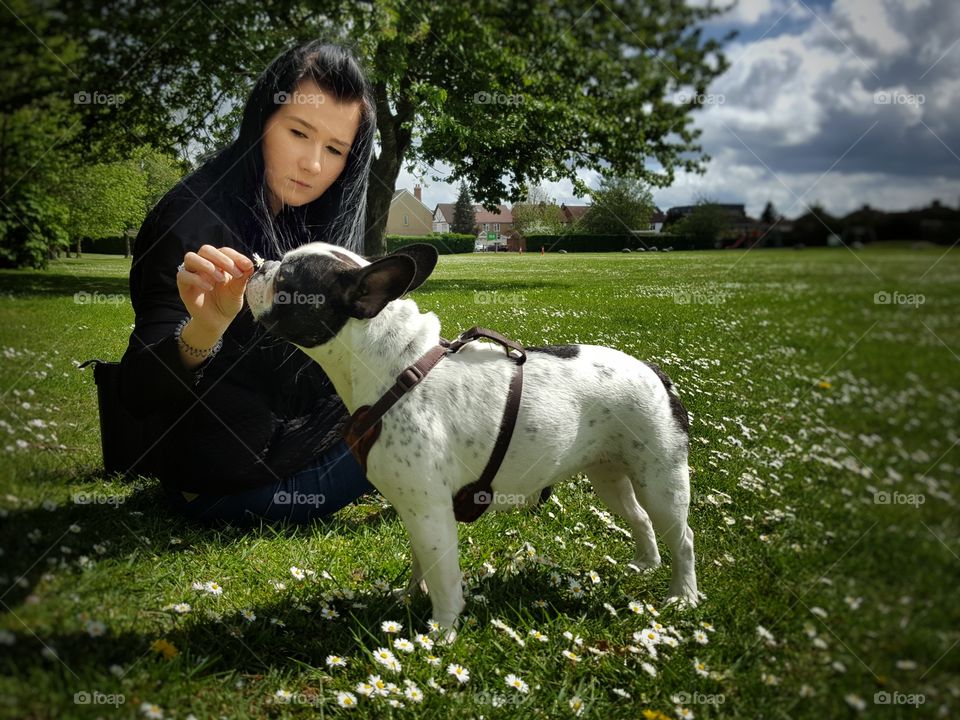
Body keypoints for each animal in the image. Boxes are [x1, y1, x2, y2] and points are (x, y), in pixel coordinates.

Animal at [246, 245, 696, 640]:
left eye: (286, 278)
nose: (260, 264)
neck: (394, 370)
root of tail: (656, 372)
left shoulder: (430, 511)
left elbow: (444, 579)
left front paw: (441, 633)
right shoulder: (419, 509)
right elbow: (422, 560)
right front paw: (408, 596)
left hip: (661, 481)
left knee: (682, 536)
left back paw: (683, 597)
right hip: (610, 476)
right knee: (639, 518)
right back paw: (645, 565)